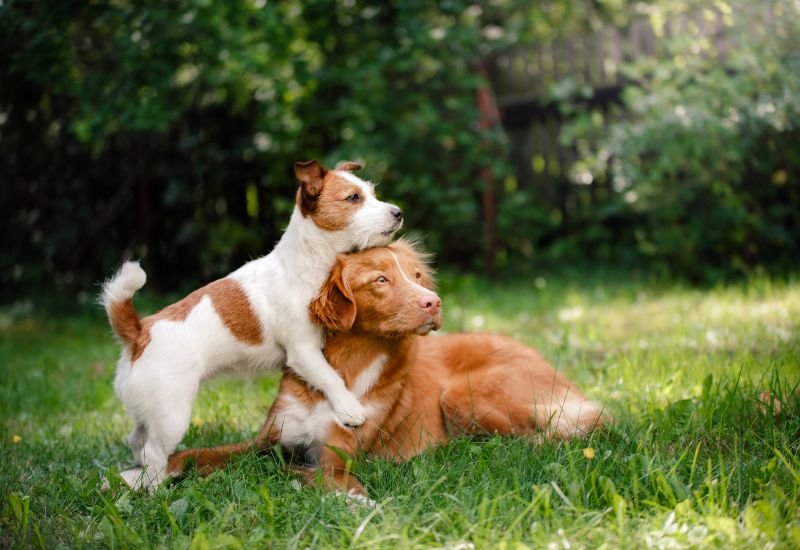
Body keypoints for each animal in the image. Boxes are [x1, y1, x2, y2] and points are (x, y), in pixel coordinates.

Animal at [101, 158, 400, 492]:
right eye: (353, 198)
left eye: (373, 193)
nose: (398, 212)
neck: (305, 264)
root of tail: (139, 333)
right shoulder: (303, 351)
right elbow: (330, 377)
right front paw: (350, 409)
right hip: (172, 416)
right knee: (153, 453)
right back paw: (155, 492)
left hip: (149, 411)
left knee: (137, 440)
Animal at [170, 242, 608, 500]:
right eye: (381, 279)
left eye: (416, 276)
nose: (434, 302)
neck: (346, 368)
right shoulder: (266, 439)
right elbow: (195, 453)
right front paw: (157, 474)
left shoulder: (337, 457)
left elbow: (310, 473)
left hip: (463, 395)